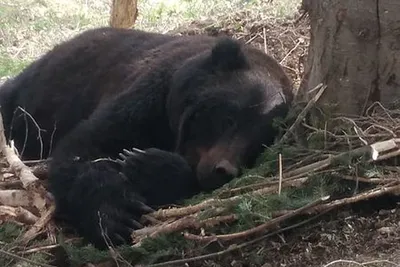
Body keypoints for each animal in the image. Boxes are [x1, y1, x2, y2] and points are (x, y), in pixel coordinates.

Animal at [0, 26, 294, 249]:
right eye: (230, 117)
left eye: (259, 142)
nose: (222, 170)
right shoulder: (146, 97)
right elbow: (85, 146)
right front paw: (115, 218)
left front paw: (149, 165)